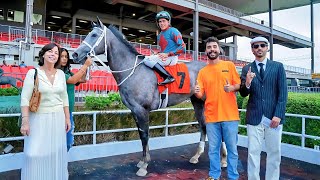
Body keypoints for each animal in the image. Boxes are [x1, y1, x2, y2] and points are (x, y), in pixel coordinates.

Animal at [73, 19, 228, 176]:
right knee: (203, 126)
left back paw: (223, 159)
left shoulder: (142, 110)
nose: (75, 54)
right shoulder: (134, 110)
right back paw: (196, 156)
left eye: (93, 35)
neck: (132, 70)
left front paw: (144, 165)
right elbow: (142, 134)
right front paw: (142, 162)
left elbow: (145, 135)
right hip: (197, 101)